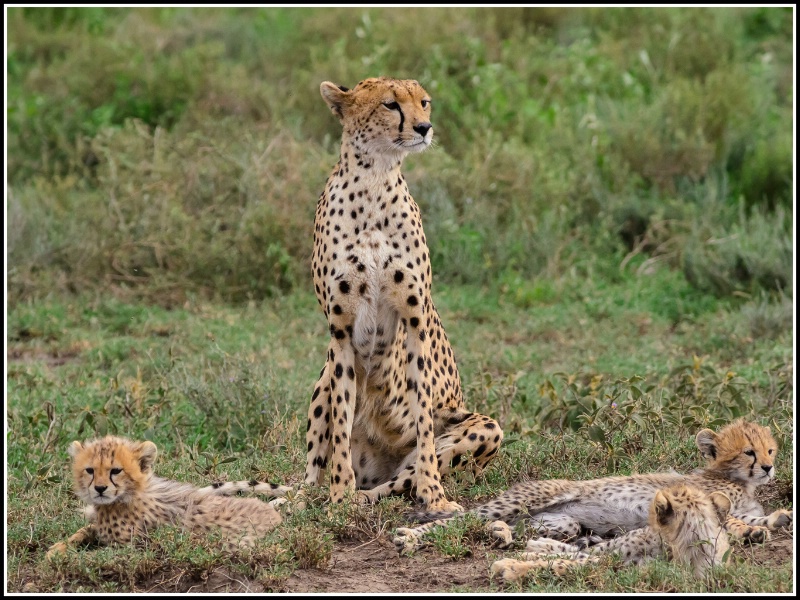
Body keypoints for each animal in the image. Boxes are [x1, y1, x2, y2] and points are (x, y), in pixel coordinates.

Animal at [46, 436, 290, 556]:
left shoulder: (133, 548)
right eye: (90, 470)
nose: (99, 489)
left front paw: (63, 555)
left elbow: (92, 555)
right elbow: (83, 531)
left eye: (116, 470)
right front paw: (57, 548)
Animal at [304, 77, 504, 510]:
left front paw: (435, 496)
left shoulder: (414, 321)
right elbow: (340, 423)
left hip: (486, 426)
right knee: (312, 470)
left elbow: (425, 425)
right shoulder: (339, 332)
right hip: (322, 375)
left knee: (398, 482)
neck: (374, 182)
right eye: (390, 104)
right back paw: (309, 498)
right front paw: (338, 496)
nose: (424, 128)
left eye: (424, 102)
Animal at [394, 420, 788, 552]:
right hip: (529, 499)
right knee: (460, 520)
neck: (737, 480)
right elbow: (731, 519)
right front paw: (751, 531)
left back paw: (503, 535)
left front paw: (773, 521)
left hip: (559, 521)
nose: (769, 467)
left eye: (770, 449)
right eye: (749, 452)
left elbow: (754, 518)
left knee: (522, 529)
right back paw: (408, 536)